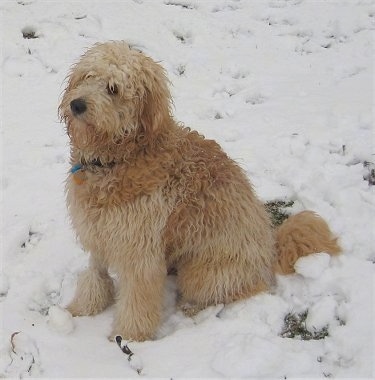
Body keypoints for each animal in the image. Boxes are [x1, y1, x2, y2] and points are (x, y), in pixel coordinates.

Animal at [58, 41, 340, 342]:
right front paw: (82, 308)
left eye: (114, 88)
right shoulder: (98, 231)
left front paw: (129, 336)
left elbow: (137, 299)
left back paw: (193, 308)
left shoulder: (139, 250)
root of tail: (271, 247)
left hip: (201, 273)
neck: (120, 157)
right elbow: (95, 274)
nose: (76, 104)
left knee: (242, 290)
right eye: (88, 76)